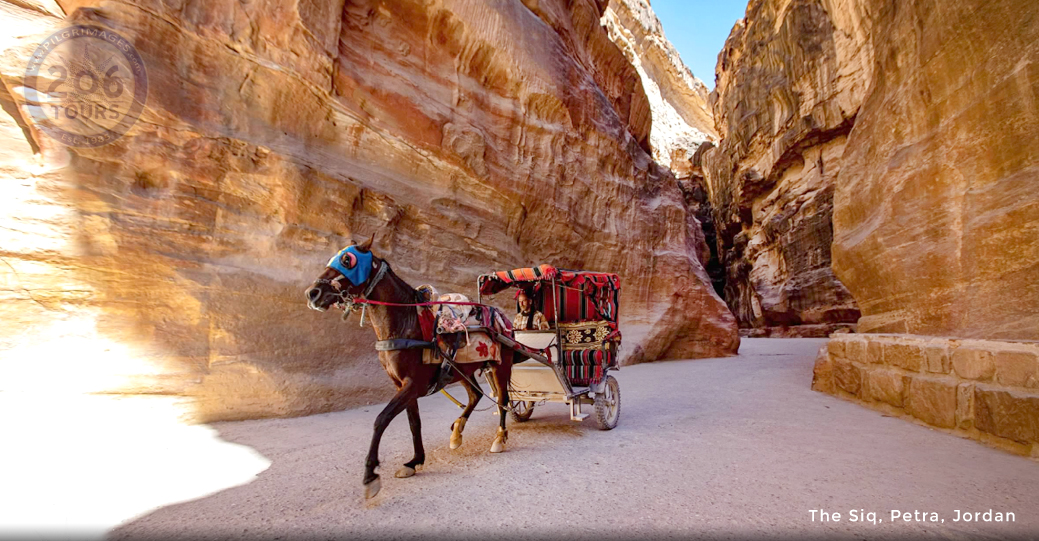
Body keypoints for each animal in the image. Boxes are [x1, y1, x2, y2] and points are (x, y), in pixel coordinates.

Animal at [303, 234, 515, 498]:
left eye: (347, 260)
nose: (312, 293)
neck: (406, 324)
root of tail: (502, 317)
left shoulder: (413, 384)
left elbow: (381, 419)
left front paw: (370, 474)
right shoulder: (402, 385)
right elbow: (414, 423)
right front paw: (415, 461)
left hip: (500, 366)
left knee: (503, 400)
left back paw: (499, 438)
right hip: (462, 371)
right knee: (476, 395)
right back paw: (457, 432)